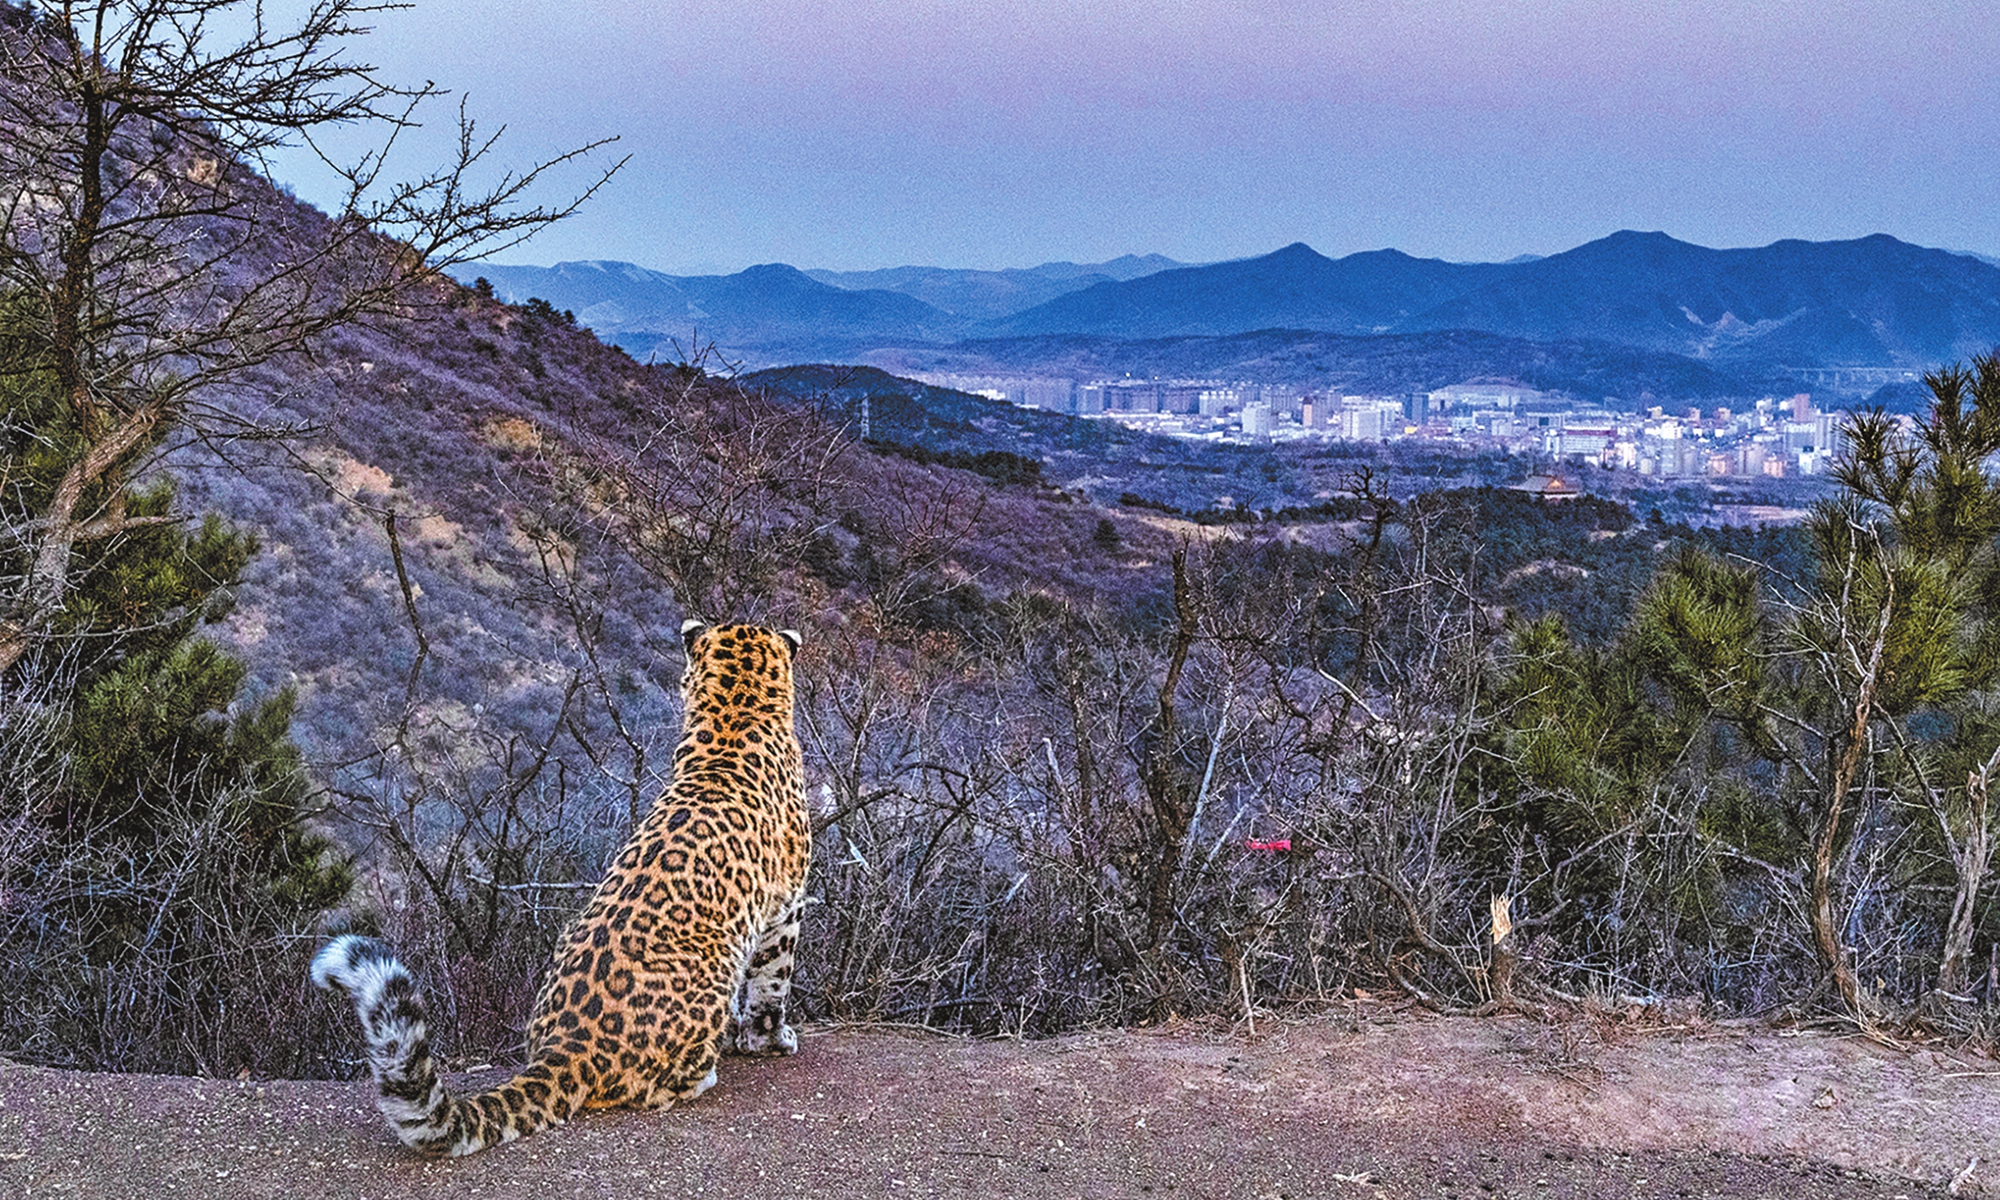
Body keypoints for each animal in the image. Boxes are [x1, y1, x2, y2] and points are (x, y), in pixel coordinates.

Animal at [312, 620, 812, 1156]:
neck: (736, 713)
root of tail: (568, 1048)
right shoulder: (787, 902)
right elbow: (773, 980)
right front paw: (770, 1039)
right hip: (714, 970)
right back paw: (703, 1076)